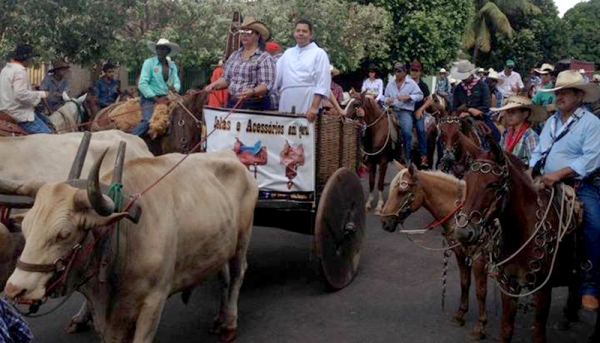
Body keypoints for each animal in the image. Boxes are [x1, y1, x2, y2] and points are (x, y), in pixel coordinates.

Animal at [382, 164, 490, 342]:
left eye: (402, 191)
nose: (384, 222)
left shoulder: (479, 258)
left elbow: (481, 292)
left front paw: (480, 327)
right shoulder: (461, 254)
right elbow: (464, 283)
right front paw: (460, 314)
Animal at [452, 134, 592, 343]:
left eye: (492, 185)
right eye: (467, 181)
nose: (463, 232)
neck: (521, 232)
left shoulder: (543, 289)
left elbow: (538, 334)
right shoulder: (509, 284)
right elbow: (506, 330)